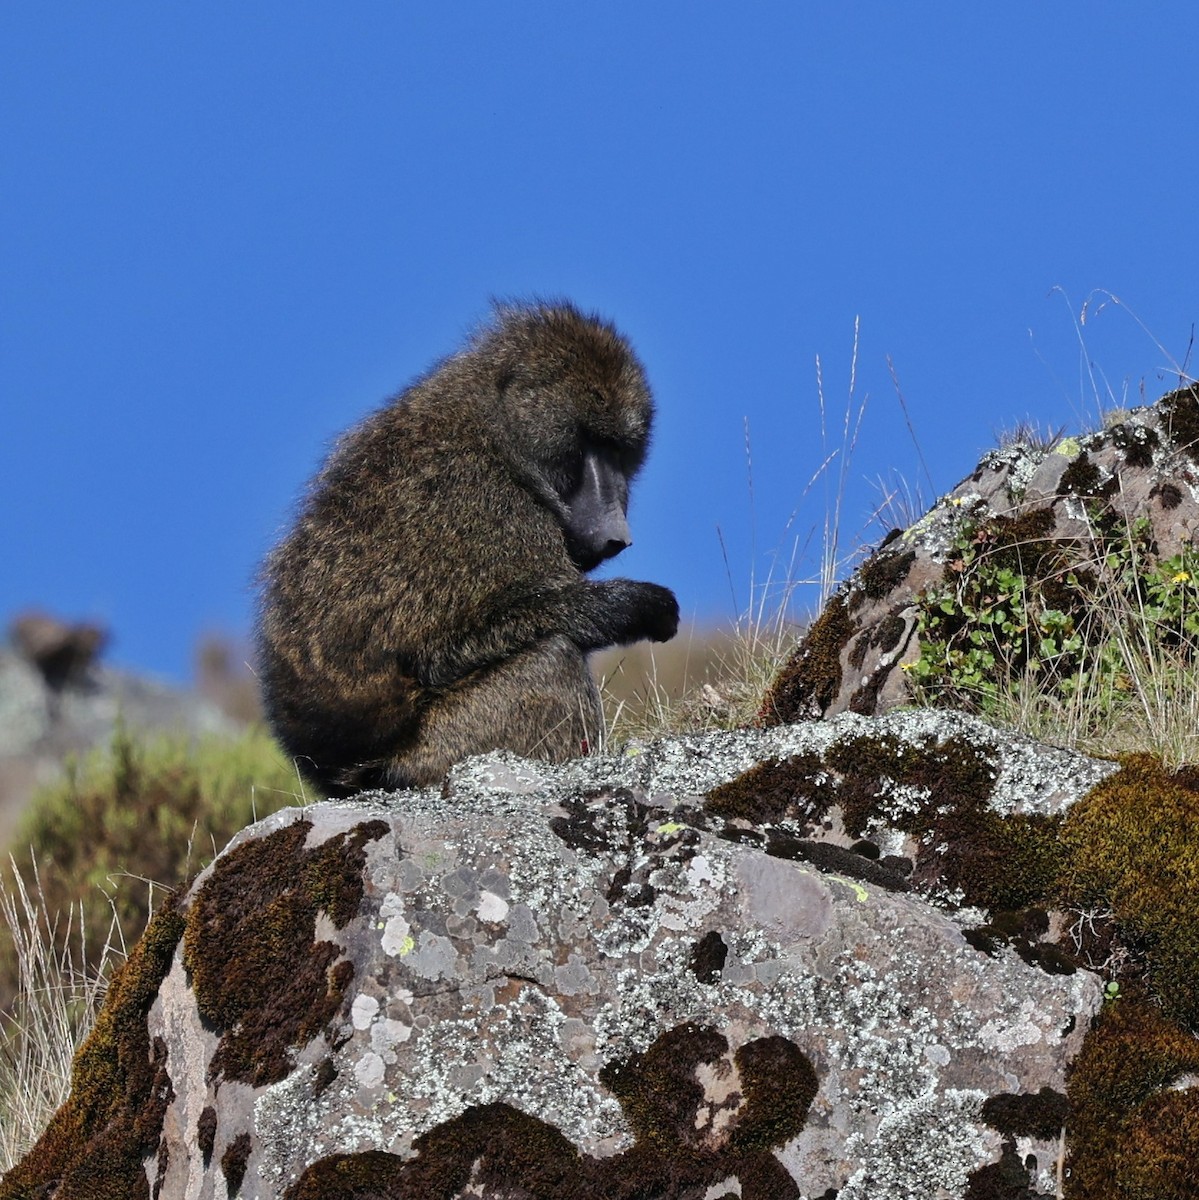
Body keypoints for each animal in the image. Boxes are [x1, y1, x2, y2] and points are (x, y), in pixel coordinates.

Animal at [256, 300, 679, 797]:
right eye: (586, 443)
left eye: (618, 449)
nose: (616, 531)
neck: (496, 431)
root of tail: (347, 776)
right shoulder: (484, 501)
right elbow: (445, 650)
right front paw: (640, 605)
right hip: (435, 753)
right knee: (552, 658)